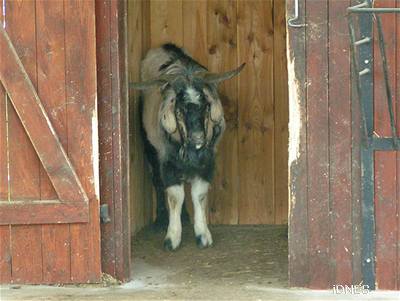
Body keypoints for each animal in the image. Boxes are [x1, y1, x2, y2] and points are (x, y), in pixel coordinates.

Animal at [131, 43, 244, 250]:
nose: (197, 137)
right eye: (180, 109)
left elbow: (198, 194)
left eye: (206, 105)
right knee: (157, 182)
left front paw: (203, 235)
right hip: (150, 148)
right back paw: (161, 220)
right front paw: (172, 238)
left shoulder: (208, 161)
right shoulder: (167, 160)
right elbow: (175, 195)